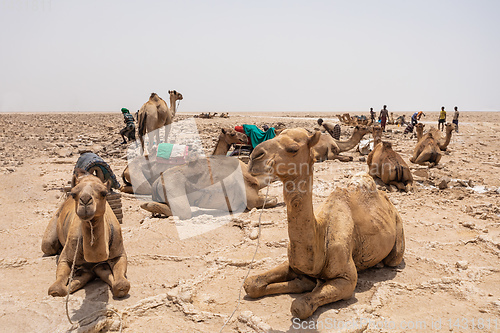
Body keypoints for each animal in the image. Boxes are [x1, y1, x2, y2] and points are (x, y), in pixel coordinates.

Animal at [243, 128, 406, 318]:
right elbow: (251, 283)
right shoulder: (294, 263)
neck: (321, 234)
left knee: (393, 258)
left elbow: (300, 306)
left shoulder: (347, 279)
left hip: (398, 231)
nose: (254, 157)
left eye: (293, 148)